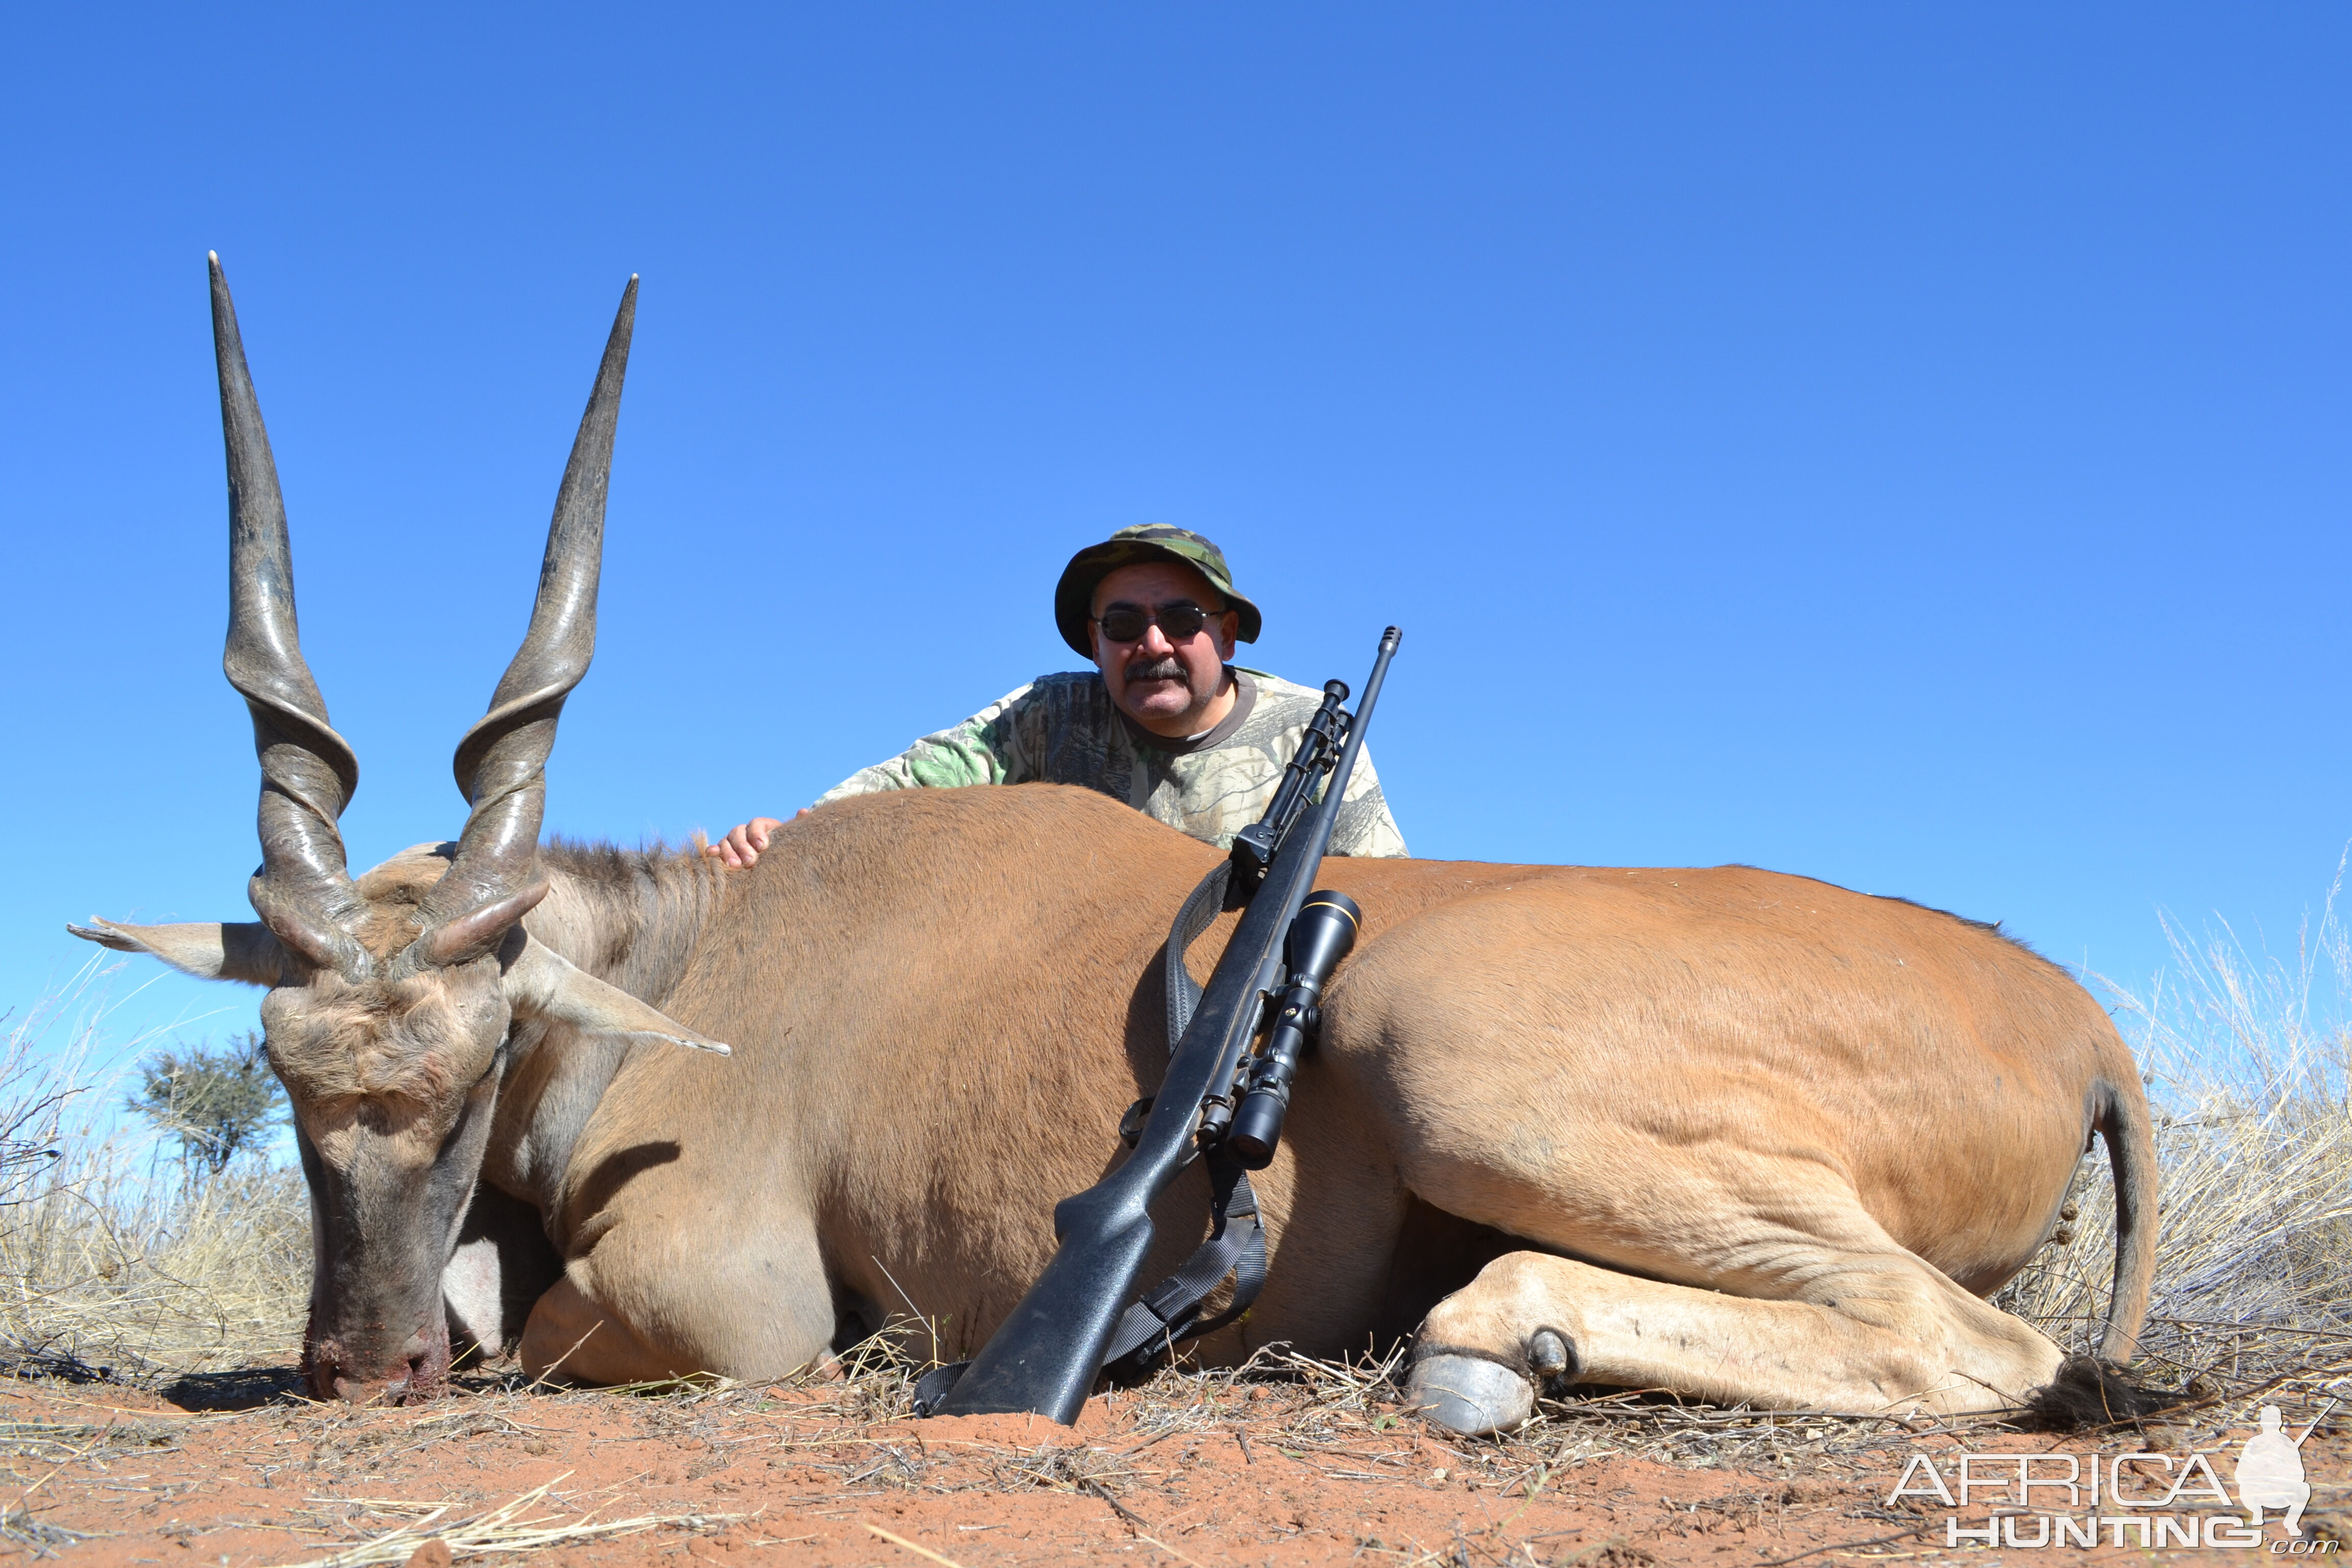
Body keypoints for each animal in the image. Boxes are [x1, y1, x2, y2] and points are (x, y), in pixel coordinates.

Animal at [78, 261, 2164, 1438]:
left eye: (487, 1045)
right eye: (289, 1073)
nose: (359, 1368)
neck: (702, 960)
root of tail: (2077, 1029)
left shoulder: (726, 1307)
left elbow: (532, 1322)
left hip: (1462, 1062)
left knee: (1967, 1342)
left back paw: (1490, 1347)